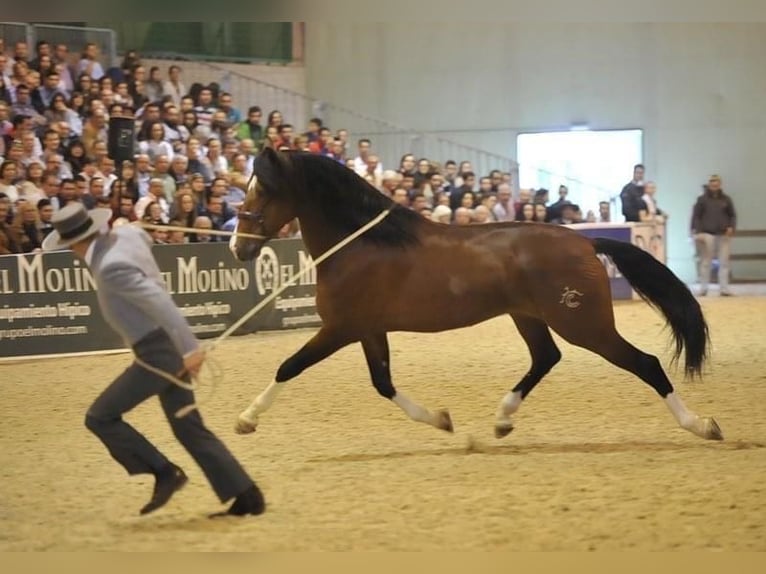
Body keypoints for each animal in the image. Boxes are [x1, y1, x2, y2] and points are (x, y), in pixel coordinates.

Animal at [231, 147, 724, 440]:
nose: (238, 247)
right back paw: (503, 418)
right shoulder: (368, 330)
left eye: (263, 190)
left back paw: (702, 425)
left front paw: (246, 419)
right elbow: (383, 383)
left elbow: (289, 366)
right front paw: (443, 421)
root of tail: (585, 241)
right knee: (546, 358)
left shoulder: (340, 329)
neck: (362, 244)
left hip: (584, 323)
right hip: (530, 317)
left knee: (646, 364)